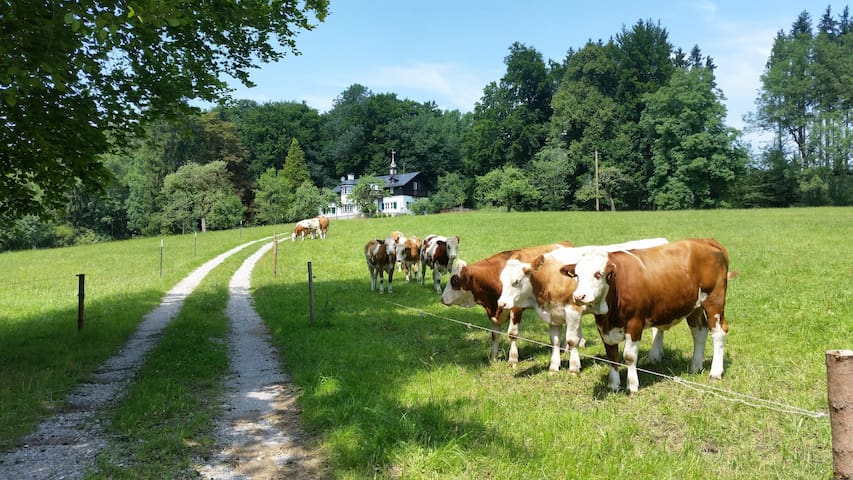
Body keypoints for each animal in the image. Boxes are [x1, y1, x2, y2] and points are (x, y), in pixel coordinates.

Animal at [440, 240, 572, 368]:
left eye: (454, 281)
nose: (442, 299)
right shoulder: (493, 311)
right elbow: (495, 334)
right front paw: (493, 357)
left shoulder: (516, 308)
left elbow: (512, 334)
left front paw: (513, 359)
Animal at [496, 238, 668, 374]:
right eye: (502, 280)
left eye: (516, 281)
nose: (501, 303)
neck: (550, 277)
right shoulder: (553, 314)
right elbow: (555, 341)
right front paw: (554, 366)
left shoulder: (573, 311)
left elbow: (572, 340)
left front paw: (573, 367)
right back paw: (657, 355)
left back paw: (654, 355)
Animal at [564, 239, 732, 394]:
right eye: (577, 275)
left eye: (598, 274)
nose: (578, 296)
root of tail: (705, 241)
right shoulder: (604, 328)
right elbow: (612, 355)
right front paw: (613, 384)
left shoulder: (635, 322)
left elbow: (629, 356)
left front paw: (632, 385)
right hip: (693, 307)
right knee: (699, 332)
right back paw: (695, 367)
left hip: (714, 300)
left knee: (718, 333)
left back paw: (715, 373)